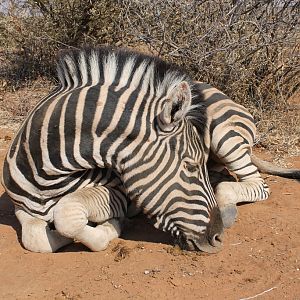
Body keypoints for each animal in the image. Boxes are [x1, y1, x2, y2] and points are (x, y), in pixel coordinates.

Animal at [1, 47, 298, 253]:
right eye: (191, 166)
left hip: (224, 136)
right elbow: (36, 239)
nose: (218, 238)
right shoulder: (21, 208)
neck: (48, 177)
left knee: (256, 184)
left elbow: (67, 214)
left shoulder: (119, 191)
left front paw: (111, 227)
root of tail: (218, 90)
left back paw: (226, 207)